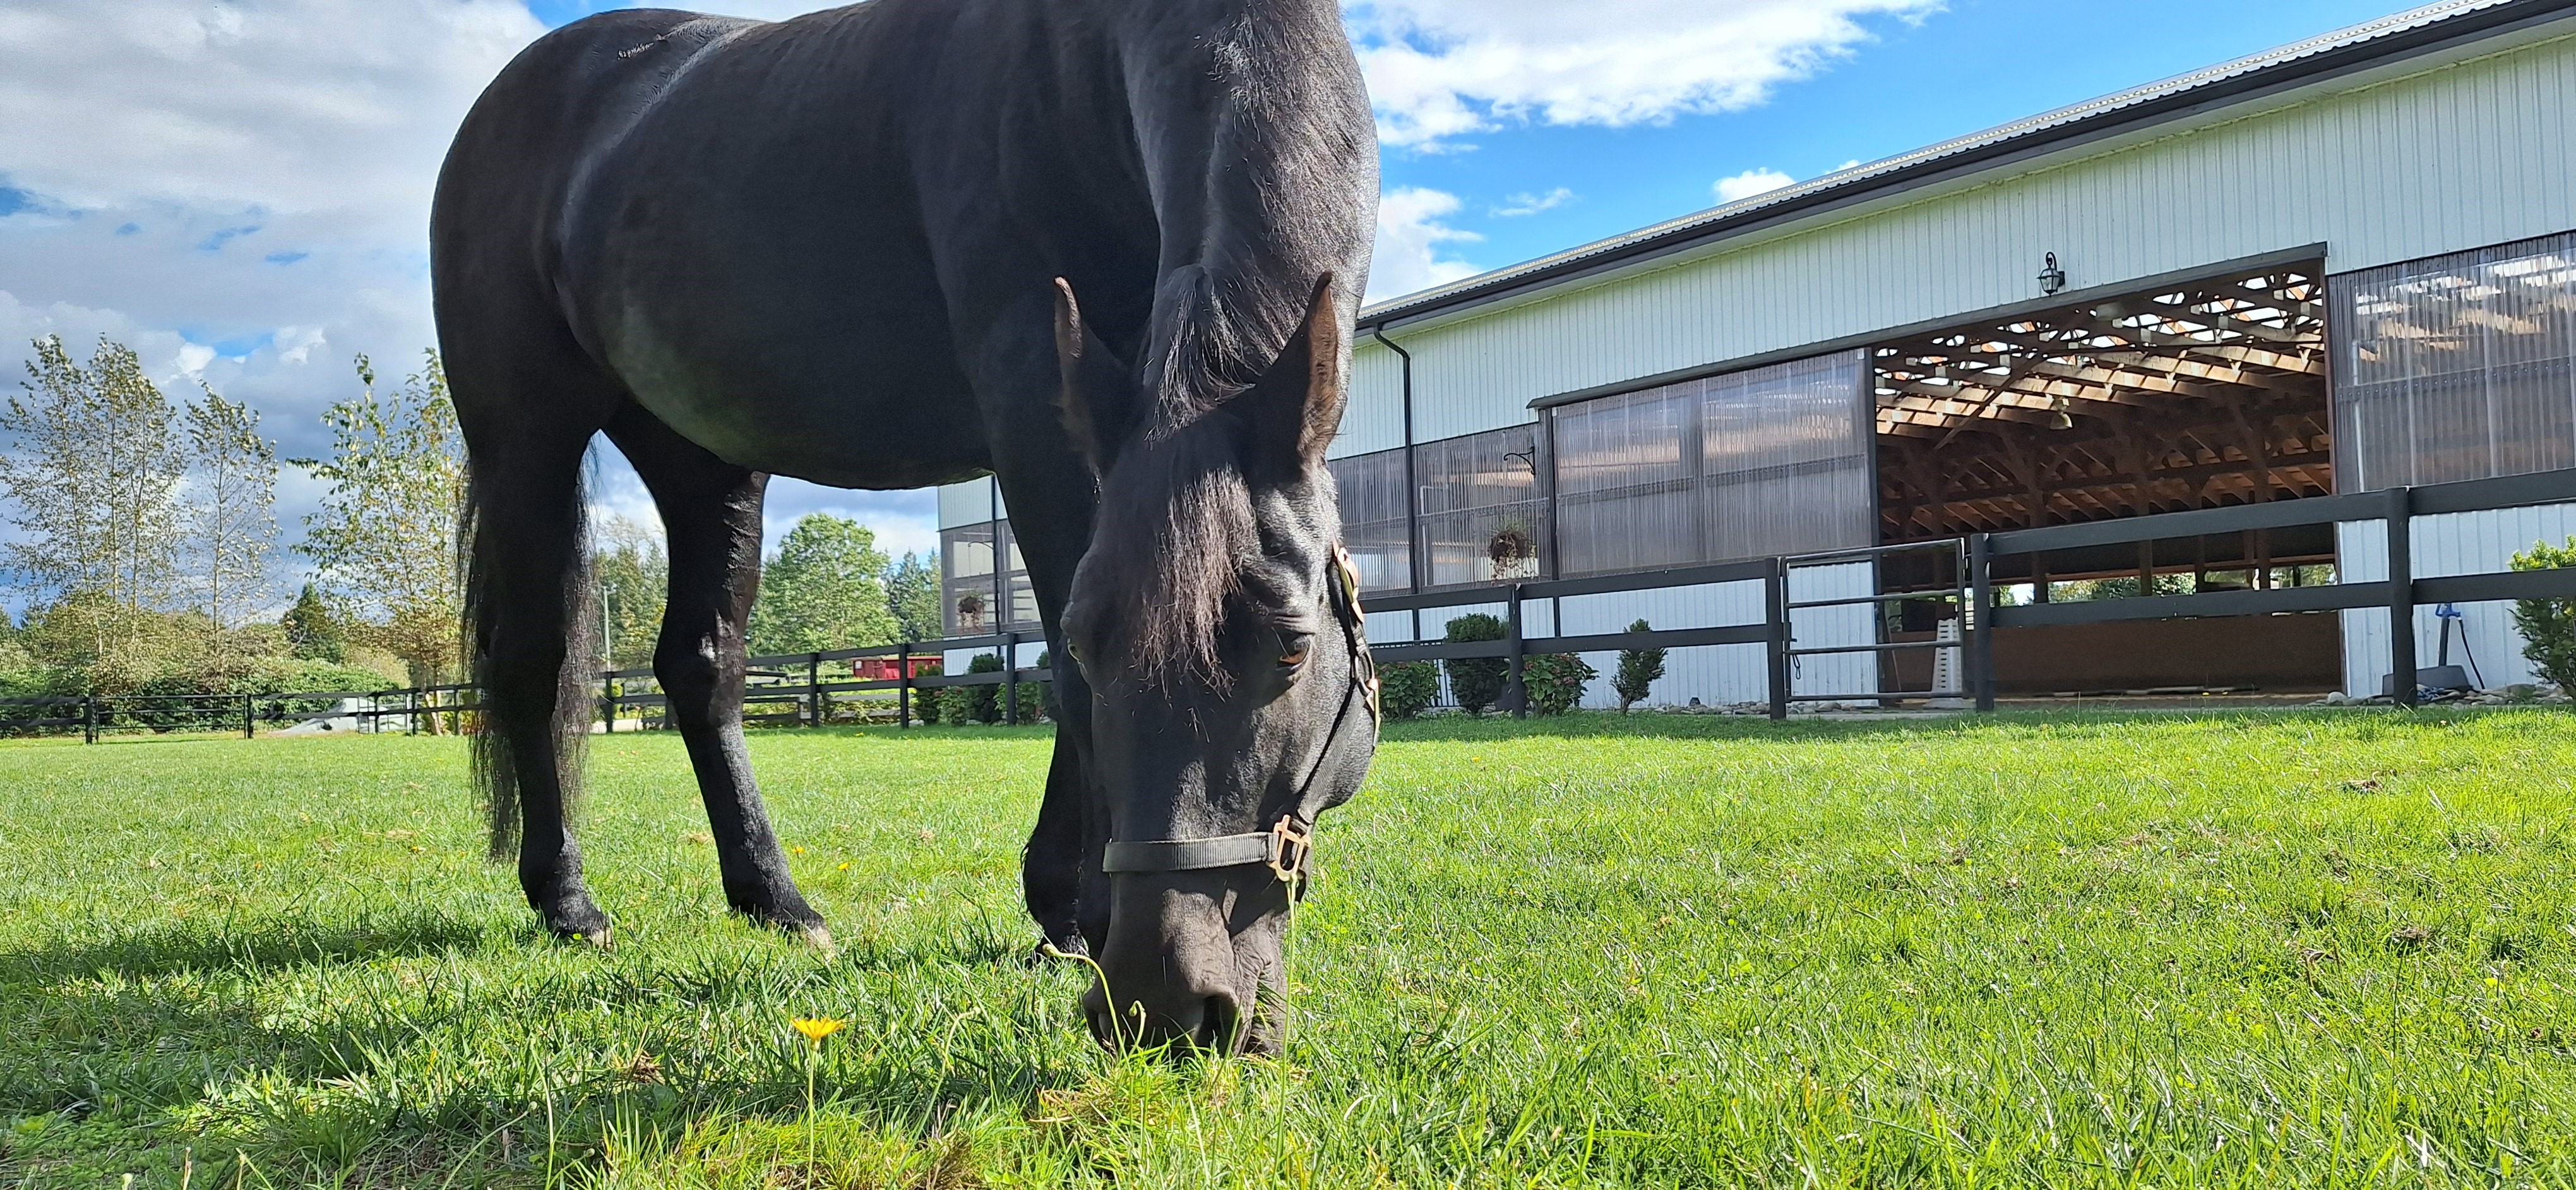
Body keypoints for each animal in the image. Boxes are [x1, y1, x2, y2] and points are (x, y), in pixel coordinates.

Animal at [430, 0, 1379, 1053]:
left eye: (1294, 648)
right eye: (1095, 648)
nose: (1163, 999)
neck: (1079, 76)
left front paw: (1061, 911)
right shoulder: (1033, 401)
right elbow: (1060, 676)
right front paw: (1074, 913)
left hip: (703, 459)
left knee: (701, 666)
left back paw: (774, 899)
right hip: (525, 441)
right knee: (532, 662)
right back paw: (568, 900)